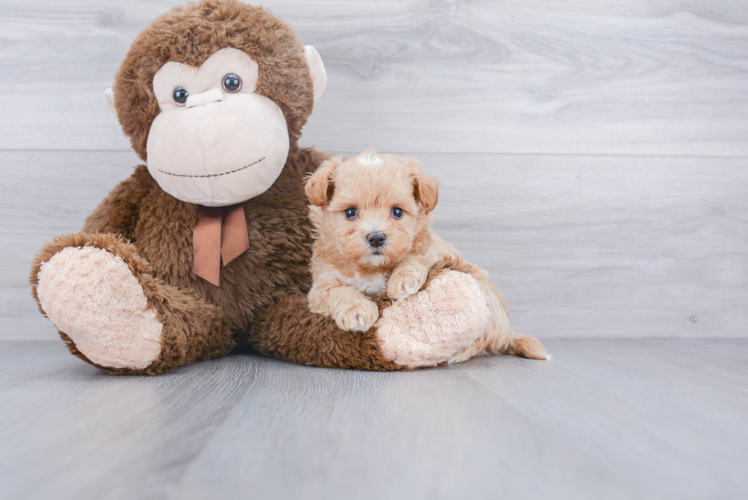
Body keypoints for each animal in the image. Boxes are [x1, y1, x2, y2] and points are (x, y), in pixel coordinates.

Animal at [304, 150, 548, 362]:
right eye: (350, 212)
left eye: (397, 212)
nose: (376, 237)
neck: (373, 267)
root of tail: (507, 331)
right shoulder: (321, 285)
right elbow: (338, 290)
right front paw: (357, 310)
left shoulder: (433, 253)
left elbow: (415, 257)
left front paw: (403, 280)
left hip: (486, 301)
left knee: (483, 340)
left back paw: (459, 354)